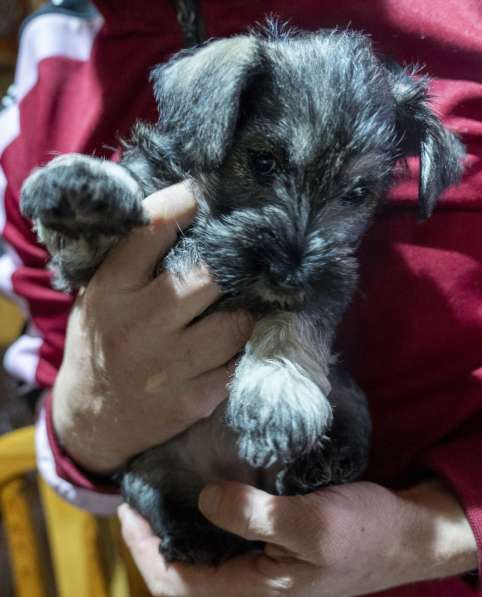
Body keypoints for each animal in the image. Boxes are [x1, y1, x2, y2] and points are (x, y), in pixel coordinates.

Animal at [21, 23, 464, 564]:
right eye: (263, 161)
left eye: (358, 193)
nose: (288, 273)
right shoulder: (88, 269)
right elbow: (101, 225)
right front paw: (81, 186)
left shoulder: (328, 283)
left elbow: (295, 321)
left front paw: (276, 393)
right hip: (144, 472)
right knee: (168, 503)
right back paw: (194, 537)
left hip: (348, 397)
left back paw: (316, 466)